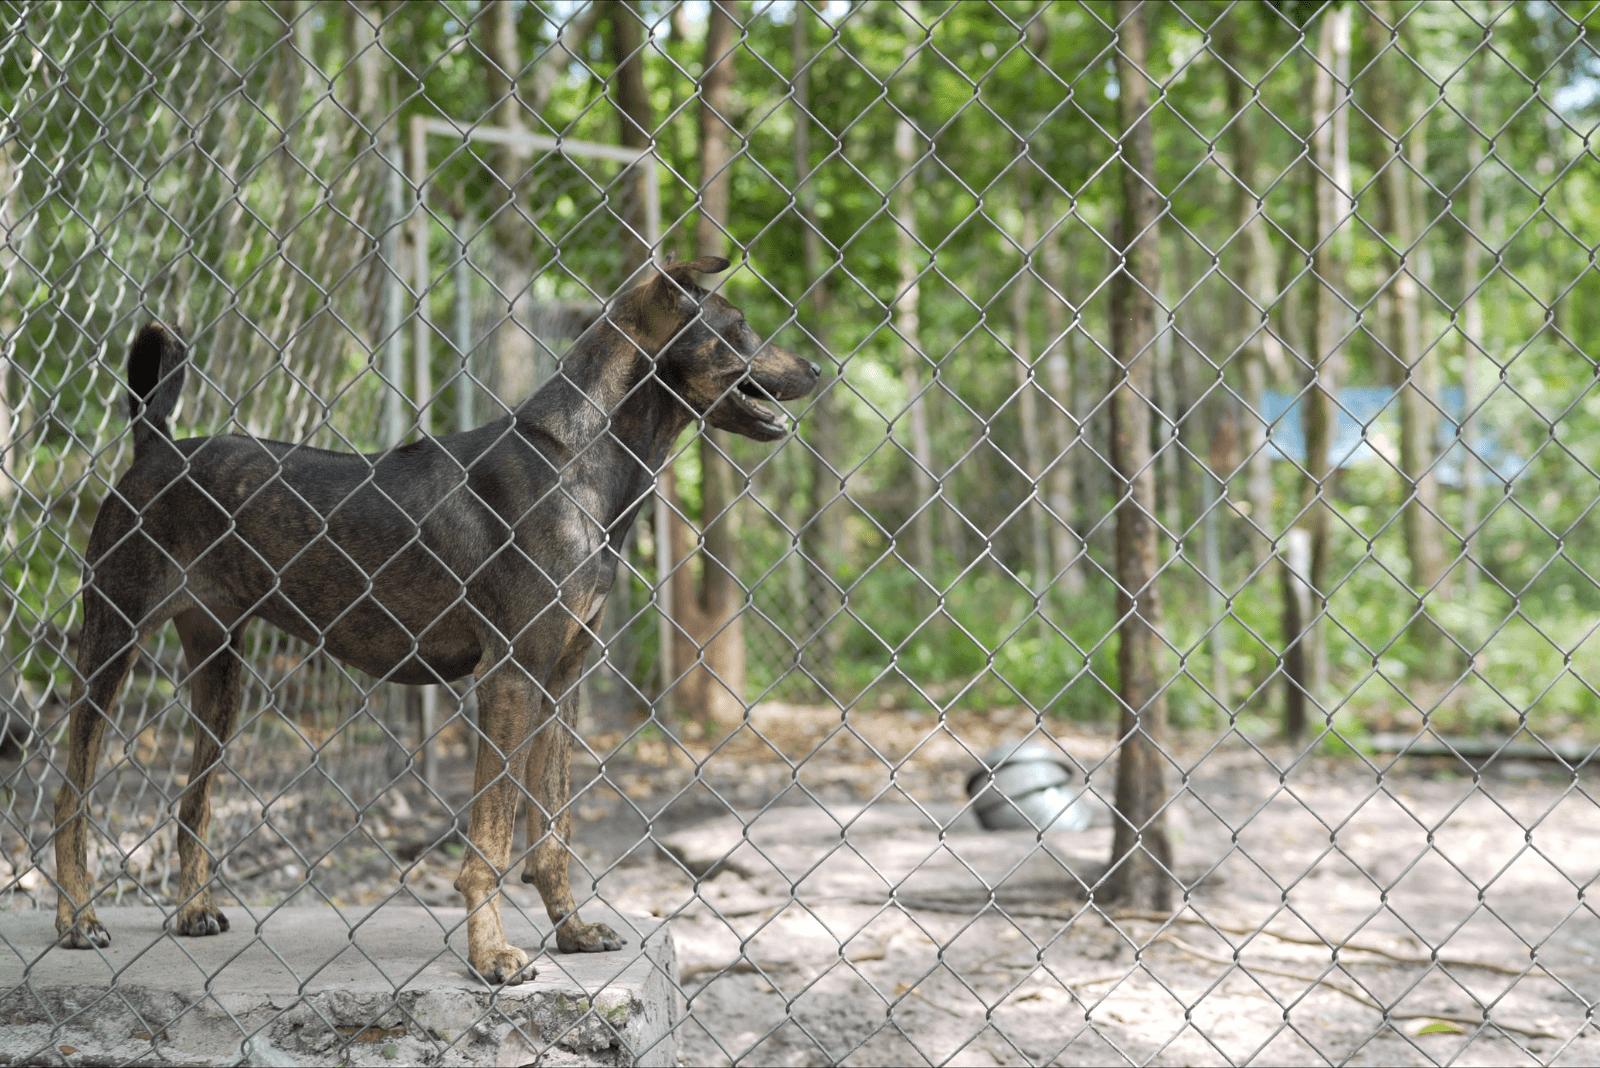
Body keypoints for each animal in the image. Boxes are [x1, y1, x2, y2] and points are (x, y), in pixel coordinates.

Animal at [54, 255, 819, 984]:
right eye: (739, 328)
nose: (817, 368)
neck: (576, 459)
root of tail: (156, 445)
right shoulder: (509, 677)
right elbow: (492, 841)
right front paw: (492, 956)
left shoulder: (560, 682)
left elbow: (554, 830)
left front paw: (571, 931)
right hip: (111, 643)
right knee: (71, 794)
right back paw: (77, 920)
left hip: (220, 671)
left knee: (193, 804)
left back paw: (191, 910)